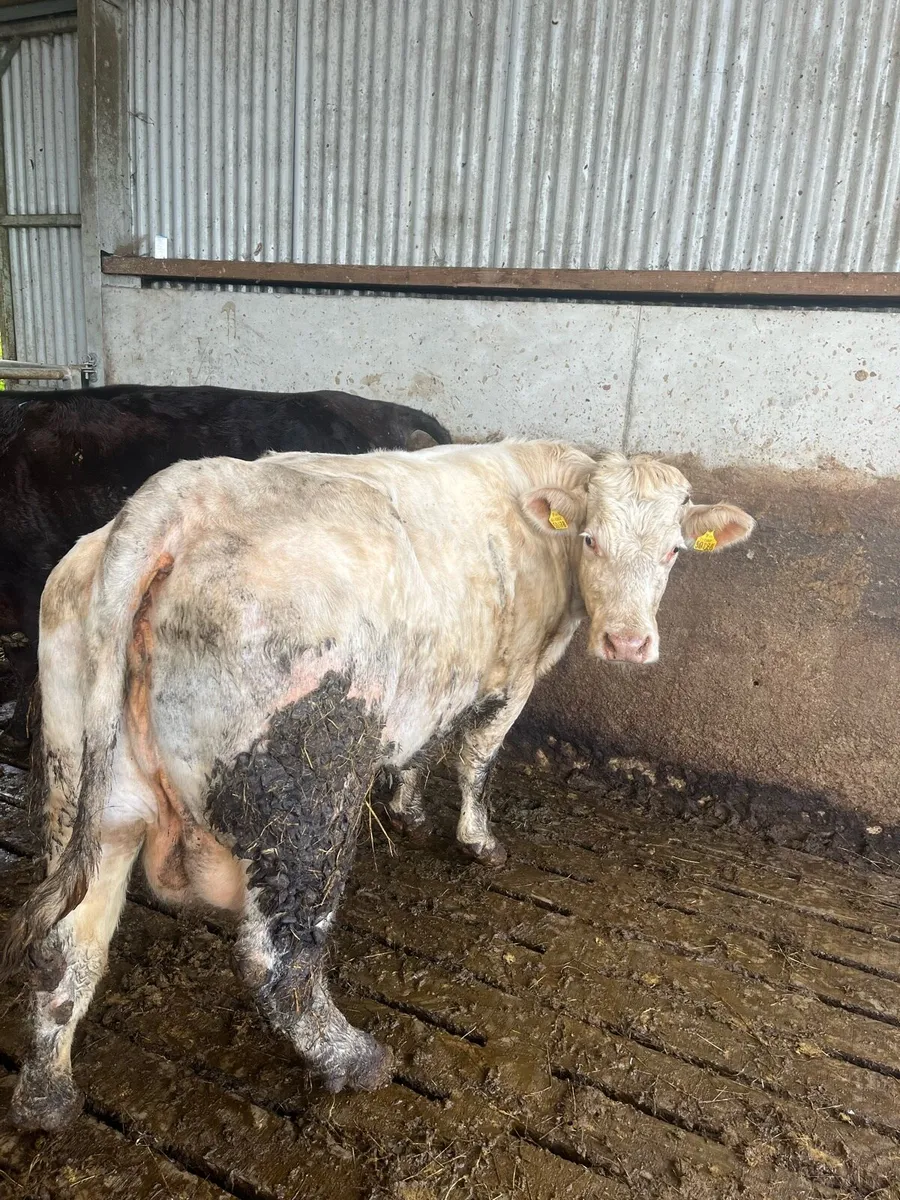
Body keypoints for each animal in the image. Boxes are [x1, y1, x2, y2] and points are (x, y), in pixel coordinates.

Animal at [1, 440, 754, 1130]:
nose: (628, 643)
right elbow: (476, 758)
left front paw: (411, 809)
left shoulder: (439, 679)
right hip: (308, 801)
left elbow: (424, 747)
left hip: (86, 793)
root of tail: (179, 499)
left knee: (68, 948)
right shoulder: (510, 677)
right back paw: (354, 1058)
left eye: (674, 552)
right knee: (279, 957)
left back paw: (47, 1099)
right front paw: (478, 842)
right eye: (592, 539)